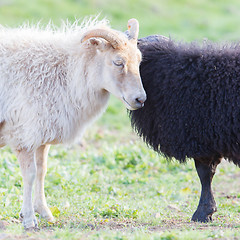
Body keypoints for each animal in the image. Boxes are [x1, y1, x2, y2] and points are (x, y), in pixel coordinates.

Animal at [0, 18, 145, 229]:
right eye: (118, 62)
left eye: (139, 61)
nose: (140, 99)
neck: (66, 73)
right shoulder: (24, 134)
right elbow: (30, 175)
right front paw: (28, 218)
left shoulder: (41, 134)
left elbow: (42, 171)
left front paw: (44, 212)